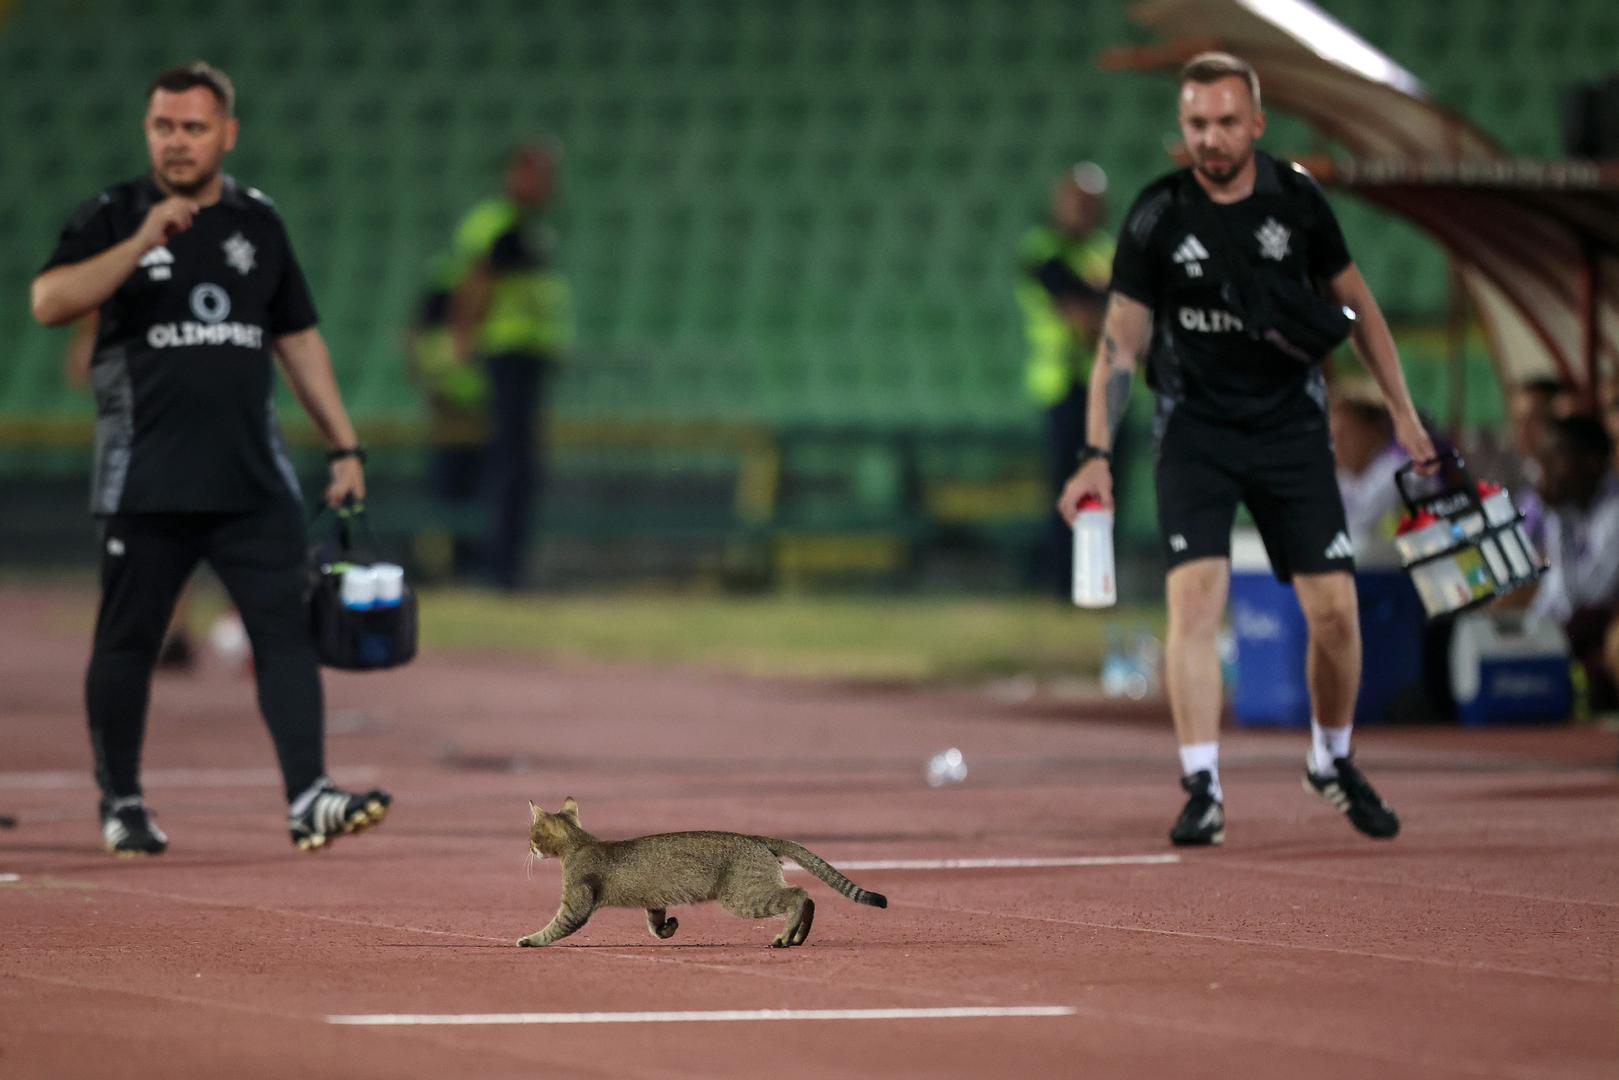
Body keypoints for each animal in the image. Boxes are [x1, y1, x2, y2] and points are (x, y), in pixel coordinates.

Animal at [518, 799, 893, 952]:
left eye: (532, 835)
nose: (529, 849)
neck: (580, 843)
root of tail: (755, 838)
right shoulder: (654, 902)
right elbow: (655, 924)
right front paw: (669, 929)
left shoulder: (576, 904)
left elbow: (554, 928)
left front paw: (528, 940)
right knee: (809, 897)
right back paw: (799, 937)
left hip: (743, 896)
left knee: (800, 895)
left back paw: (785, 937)